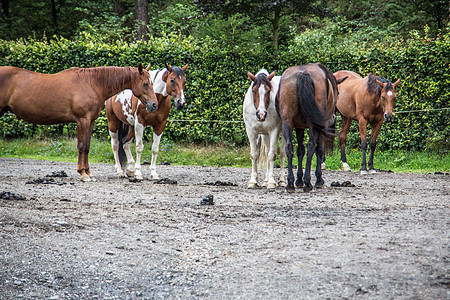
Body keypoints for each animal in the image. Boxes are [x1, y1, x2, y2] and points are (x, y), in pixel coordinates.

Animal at [0, 63, 158, 180]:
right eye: (145, 84)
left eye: (151, 83)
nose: (154, 104)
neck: (92, 83)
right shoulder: (82, 120)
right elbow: (82, 146)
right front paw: (83, 174)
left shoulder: (90, 121)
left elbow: (87, 146)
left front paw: (88, 173)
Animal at [276, 63, 342, 192]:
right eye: (337, 93)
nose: (333, 117)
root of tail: (302, 73)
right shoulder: (321, 128)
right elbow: (319, 150)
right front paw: (318, 179)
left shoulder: (299, 127)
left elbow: (300, 150)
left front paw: (298, 180)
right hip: (315, 125)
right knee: (311, 146)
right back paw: (308, 183)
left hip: (287, 122)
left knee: (289, 147)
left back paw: (290, 183)